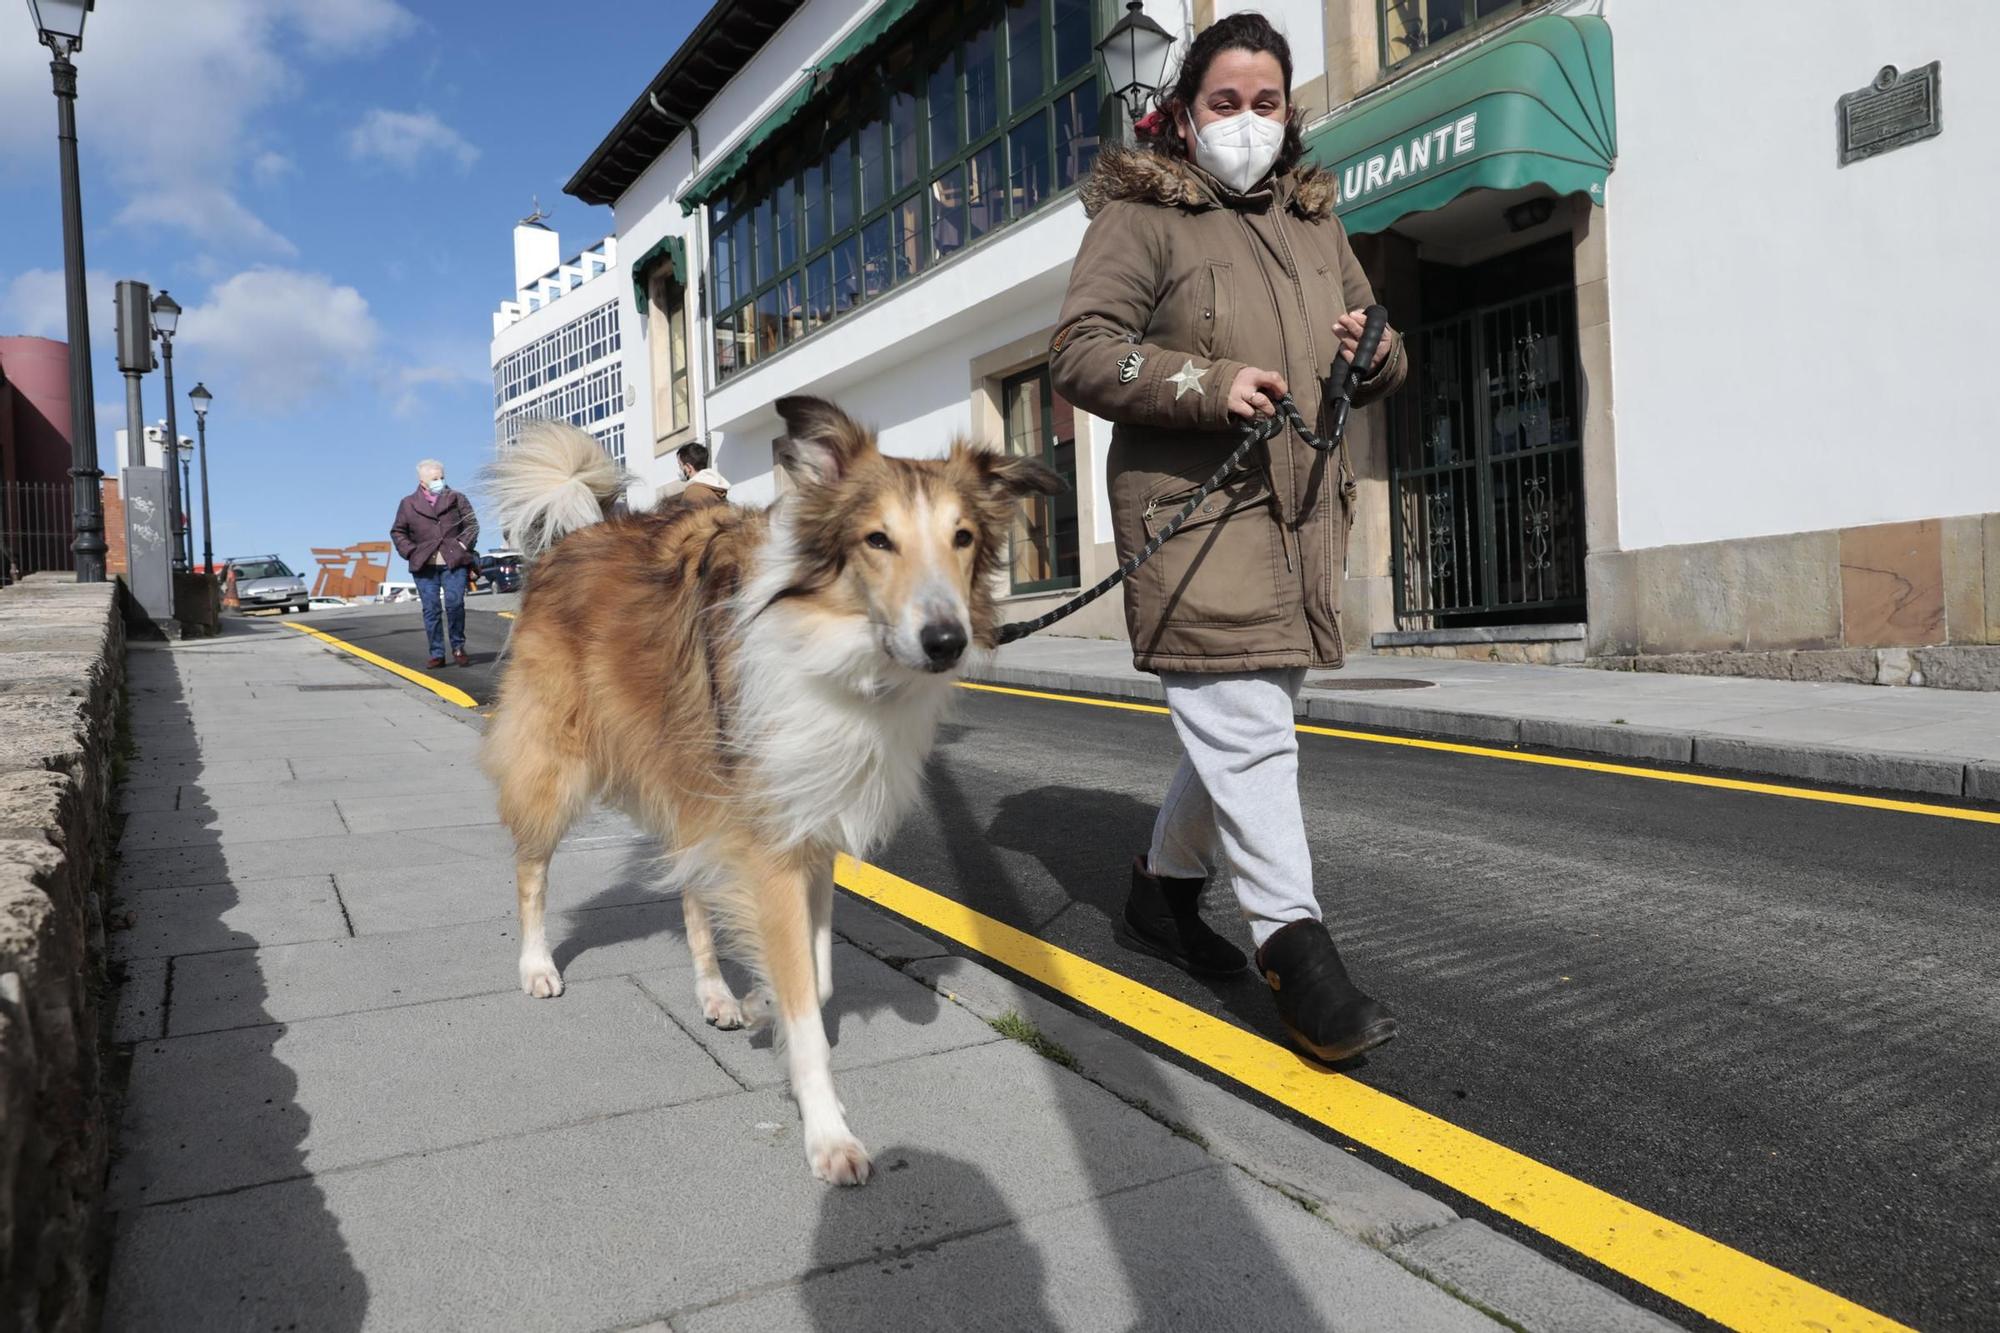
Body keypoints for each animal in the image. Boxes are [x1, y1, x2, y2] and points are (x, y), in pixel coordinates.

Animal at [478, 396, 1064, 1184]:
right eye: (878, 539)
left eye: (963, 537)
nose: (947, 642)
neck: (834, 642)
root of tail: (574, 535)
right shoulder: (772, 840)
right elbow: (803, 998)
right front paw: (827, 1132)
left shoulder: (808, 825)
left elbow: (813, 981)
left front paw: (762, 1003)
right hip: (559, 762)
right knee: (532, 867)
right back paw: (538, 965)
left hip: (691, 774)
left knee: (691, 887)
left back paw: (717, 993)